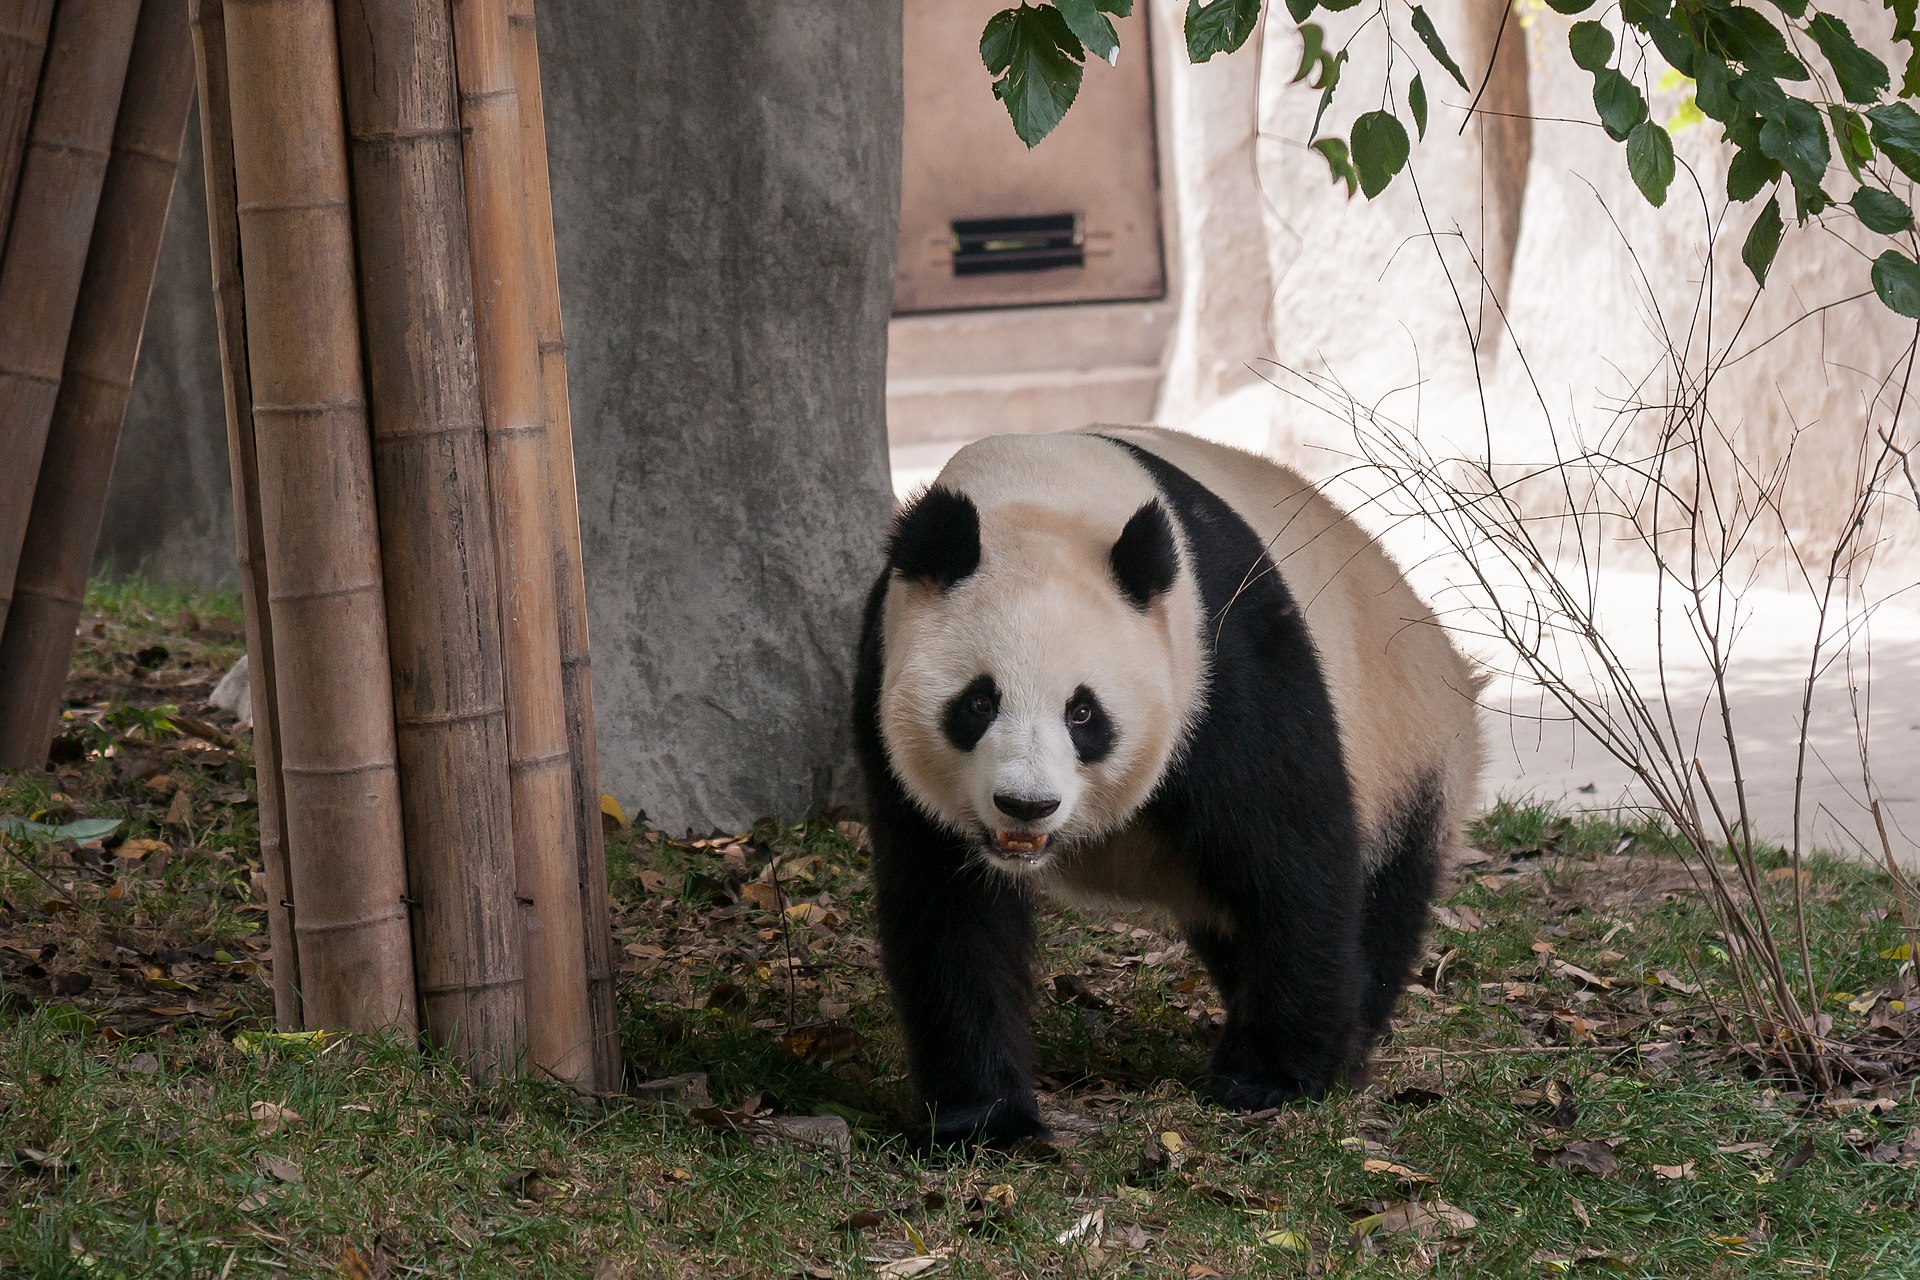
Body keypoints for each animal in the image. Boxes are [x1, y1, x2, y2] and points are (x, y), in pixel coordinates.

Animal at [852, 426, 1483, 1147]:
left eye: (1083, 713)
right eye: (978, 703)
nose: (1026, 806)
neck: (1041, 494)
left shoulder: (1224, 658)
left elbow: (1291, 860)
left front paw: (1269, 1079)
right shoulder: (882, 683)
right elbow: (949, 912)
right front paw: (983, 1120)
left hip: (1408, 752)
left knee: (1379, 895)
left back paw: (1348, 1043)